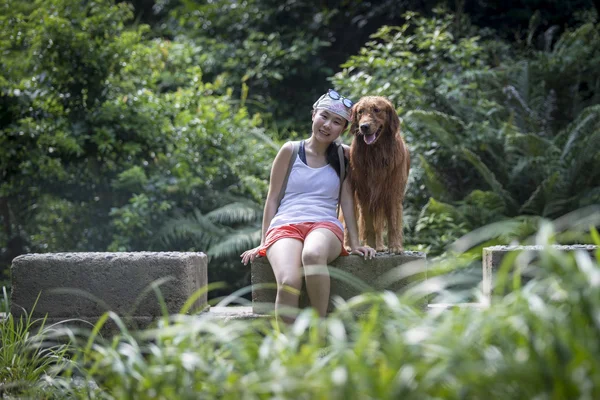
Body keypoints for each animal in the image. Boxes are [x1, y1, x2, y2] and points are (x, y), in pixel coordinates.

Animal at [350, 96, 410, 253]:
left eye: (377, 110)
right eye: (360, 112)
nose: (364, 127)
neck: (375, 153)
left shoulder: (392, 192)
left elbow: (393, 223)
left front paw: (395, 247)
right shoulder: (364, 193)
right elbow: (368, 224)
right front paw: (370, 246)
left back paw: (381, 246)